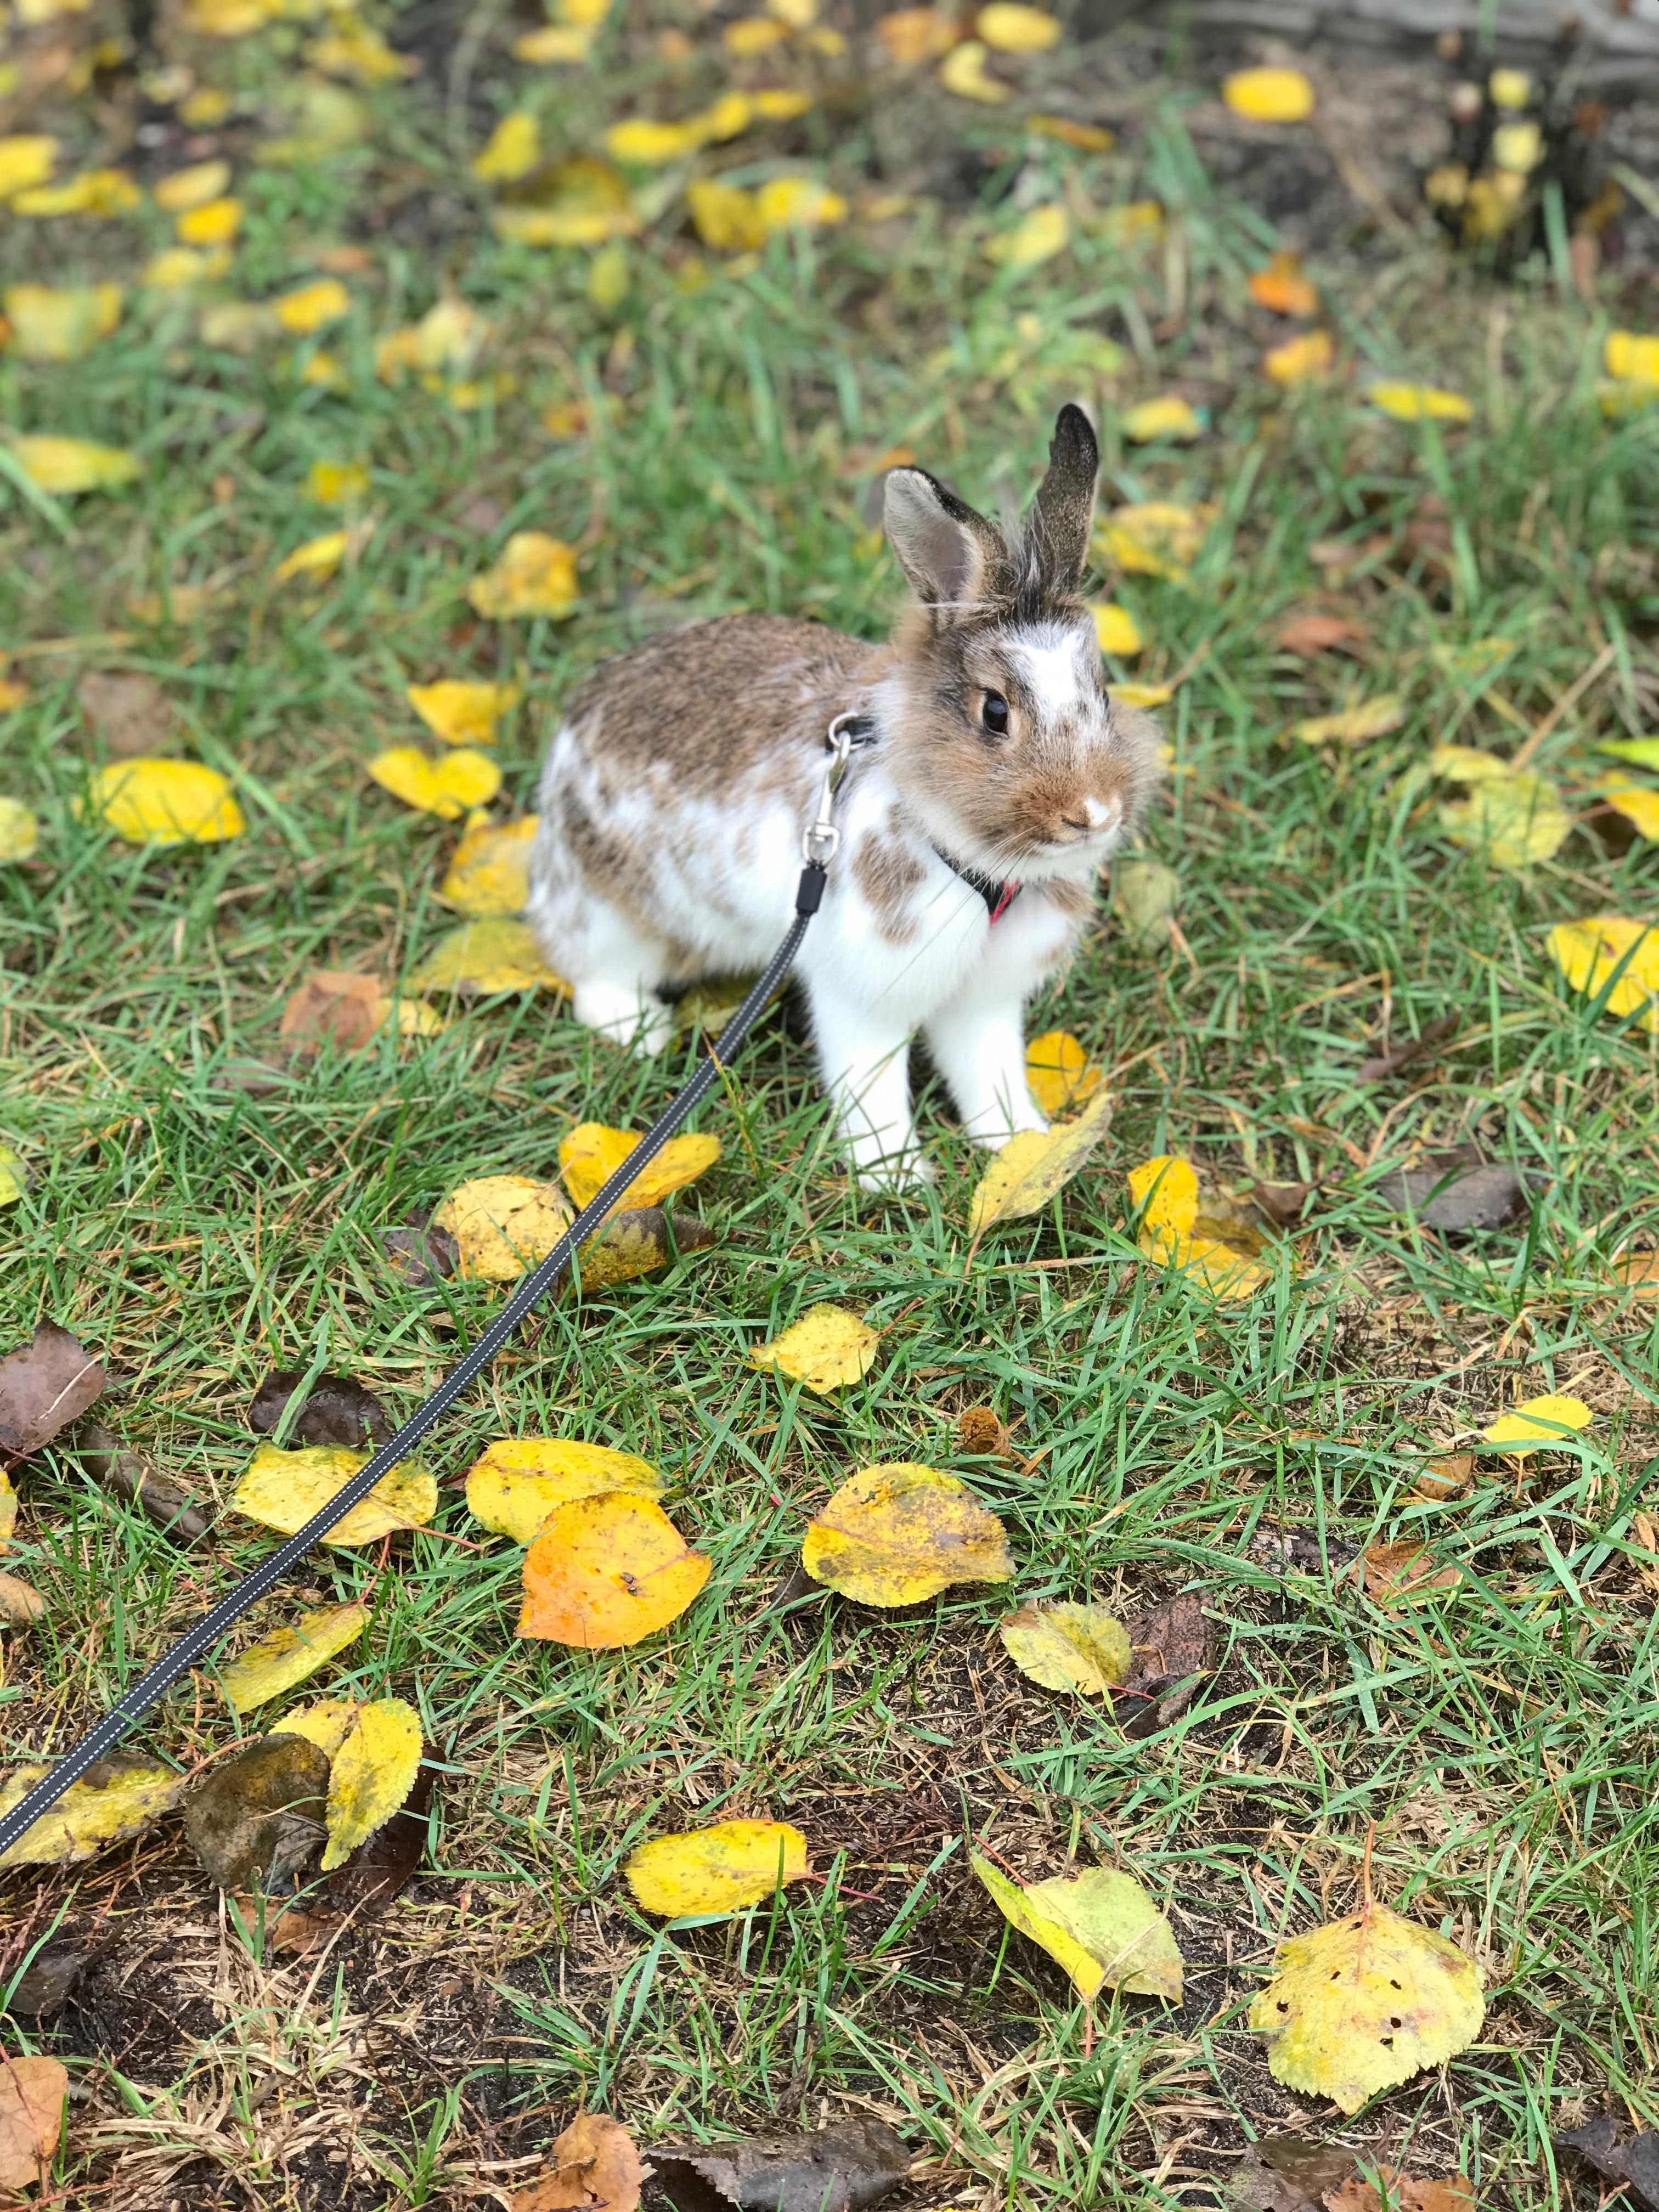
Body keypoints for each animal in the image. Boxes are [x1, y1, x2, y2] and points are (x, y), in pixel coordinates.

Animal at [526, 404, 1159, 1186]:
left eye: (1101, 693)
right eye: (995, 713)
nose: (1093, 812)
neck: (966, 862)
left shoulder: (984, 1001)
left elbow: (989, 1072)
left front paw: (1023, 1149)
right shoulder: (862, 992)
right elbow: (872, 1080)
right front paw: (895, 1175)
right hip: (619, 916)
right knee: (592, 972)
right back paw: (638, 1030)